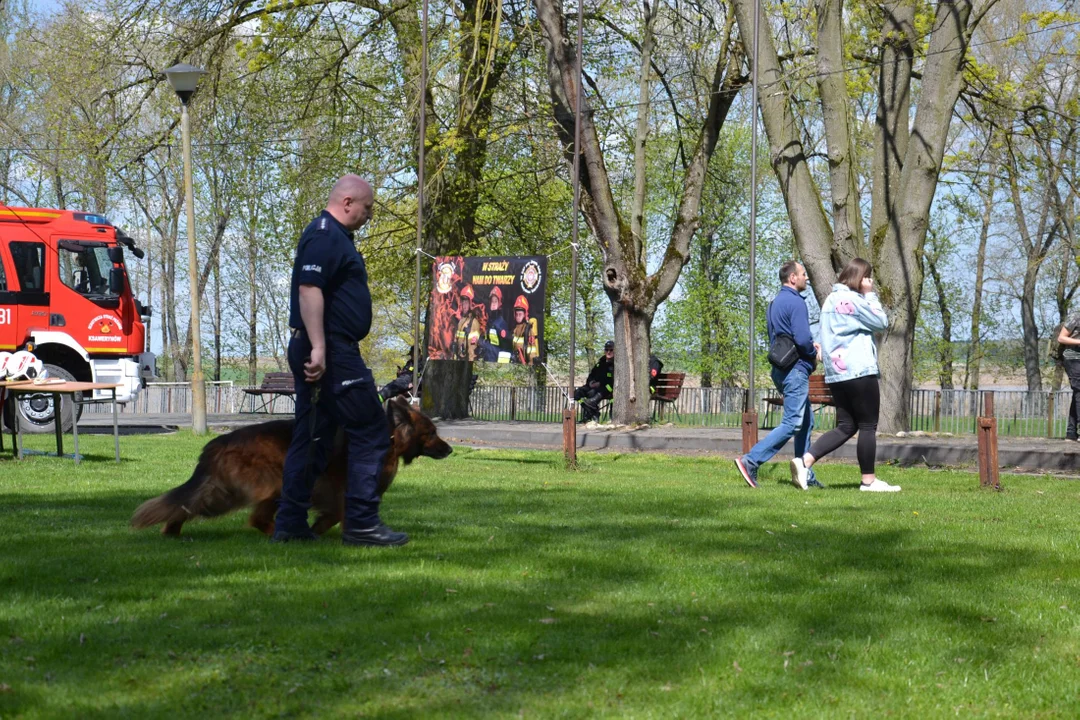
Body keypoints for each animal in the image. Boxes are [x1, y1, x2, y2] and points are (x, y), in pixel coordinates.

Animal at [131, 397, 451, 537]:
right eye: (431, 433)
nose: (450, 449)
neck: (389, 437)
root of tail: (220, 441)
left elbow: (333, 515)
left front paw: (318, 529)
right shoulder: (343, 490)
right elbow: (342, 514)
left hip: (224, 493)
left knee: (190, 505)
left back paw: (172, 529)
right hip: (275, 485)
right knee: (257, 519)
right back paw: (284, 534)